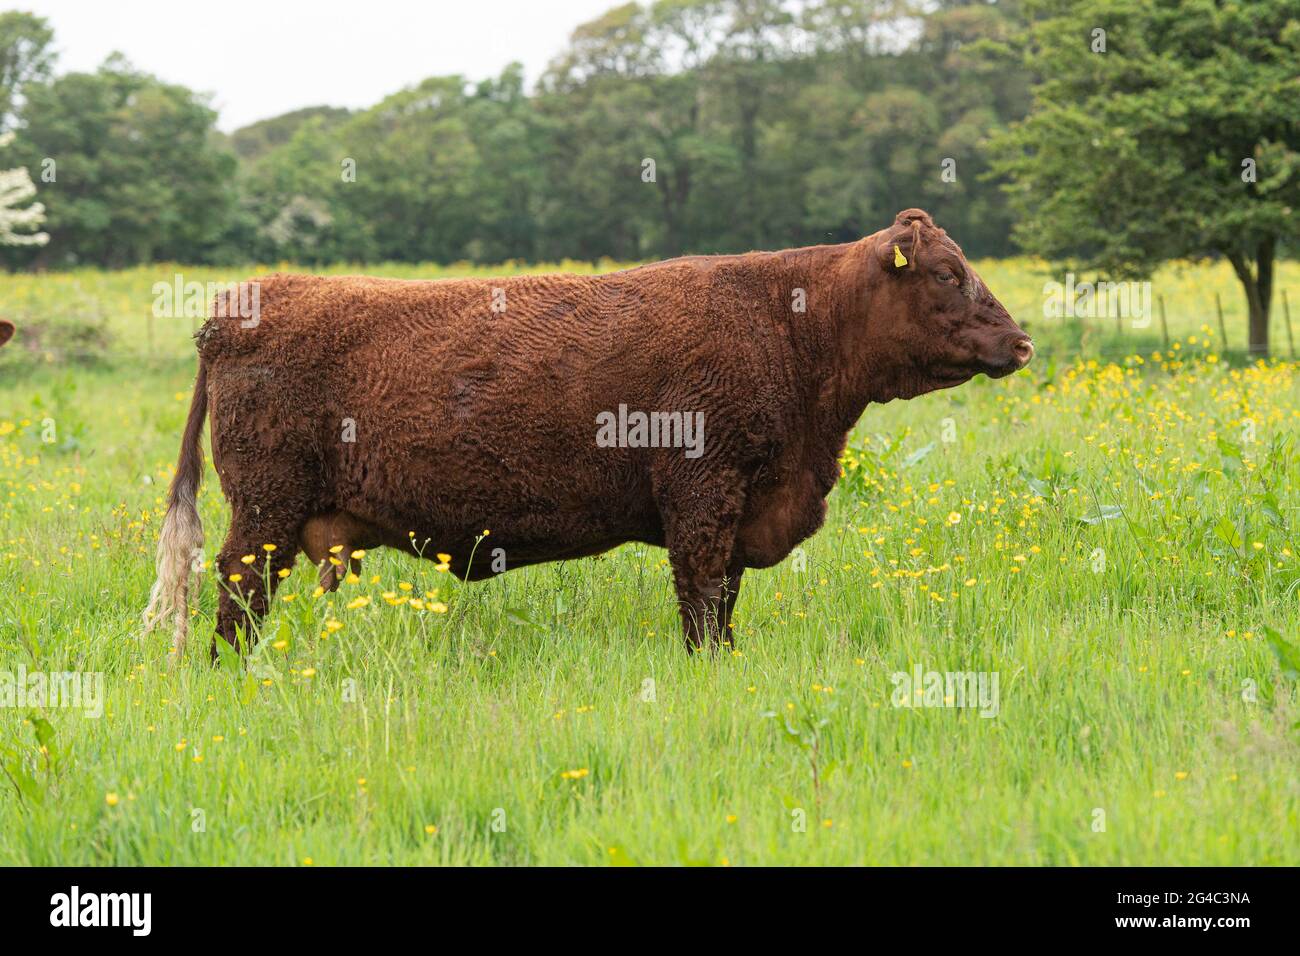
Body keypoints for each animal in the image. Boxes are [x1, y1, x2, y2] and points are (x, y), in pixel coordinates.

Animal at [144, 208, 1034, 658]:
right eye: (949, 273)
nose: (1021, 342)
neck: (789, 331)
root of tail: (244, 303)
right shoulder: (704, 494)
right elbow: (701, 598)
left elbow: (725, 601)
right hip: (266, 508)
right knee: (237, 590)